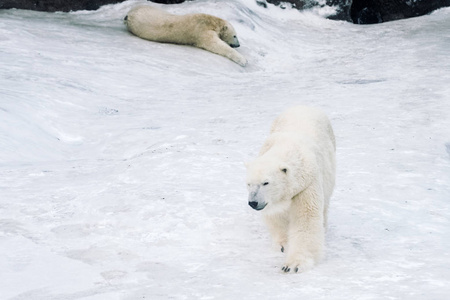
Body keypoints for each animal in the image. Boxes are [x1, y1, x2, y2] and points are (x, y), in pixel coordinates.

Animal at [244, 106, 336, 274]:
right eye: (249, 183)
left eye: (266, 183)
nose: (253, 202)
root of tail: (305, 105)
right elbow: (277, 216)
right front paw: (283, 245)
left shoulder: (307, 185)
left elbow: (305, 220)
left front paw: (293, 265)